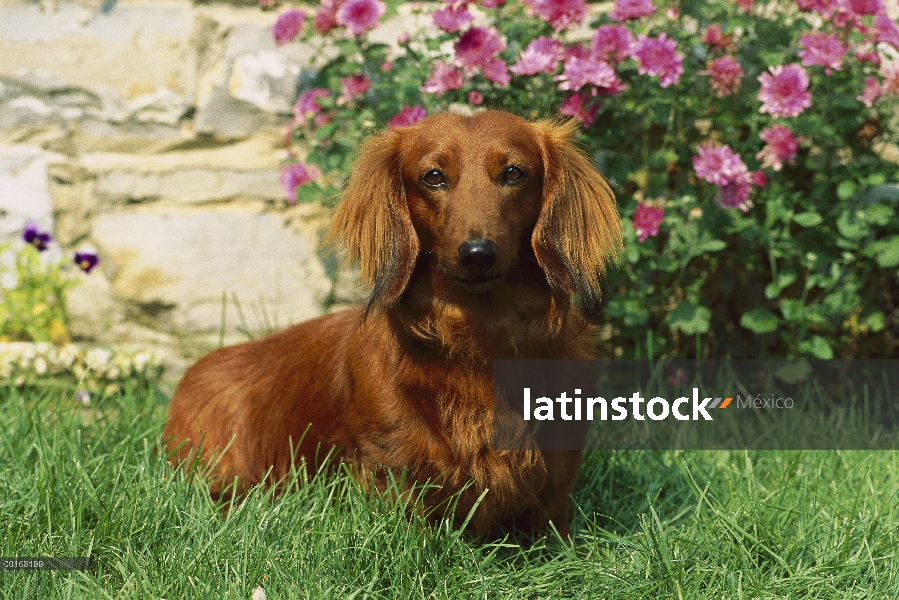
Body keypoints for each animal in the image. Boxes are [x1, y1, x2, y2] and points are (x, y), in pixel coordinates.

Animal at [163, 110, 620, 536]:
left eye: (513, 173)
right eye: (433, 177)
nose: (477, 254)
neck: (479, 342)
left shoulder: (552, 494)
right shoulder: (393, 472)